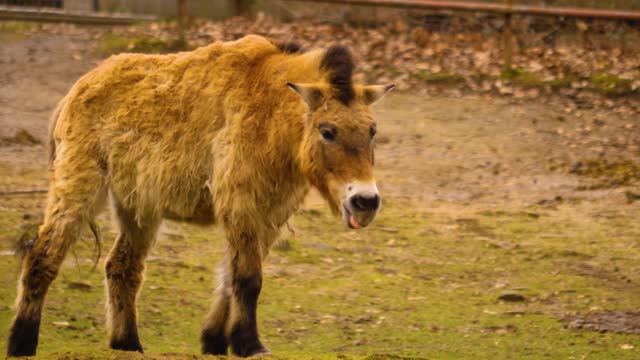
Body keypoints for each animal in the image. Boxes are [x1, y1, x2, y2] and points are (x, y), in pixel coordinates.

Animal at [7, 34, 392, 358]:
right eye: (327, 131)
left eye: (372, 130)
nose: (365, 202)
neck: (270, 112)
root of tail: (79, 86)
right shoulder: (241, 206)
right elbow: (247, 278)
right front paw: (249, 344)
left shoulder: (270, 215)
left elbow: (230, 277)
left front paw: (216, 341)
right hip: (79, 188)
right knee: (43, 255)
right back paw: (22, 342)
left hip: (138, 207)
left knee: (122, 268)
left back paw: (128, 343)